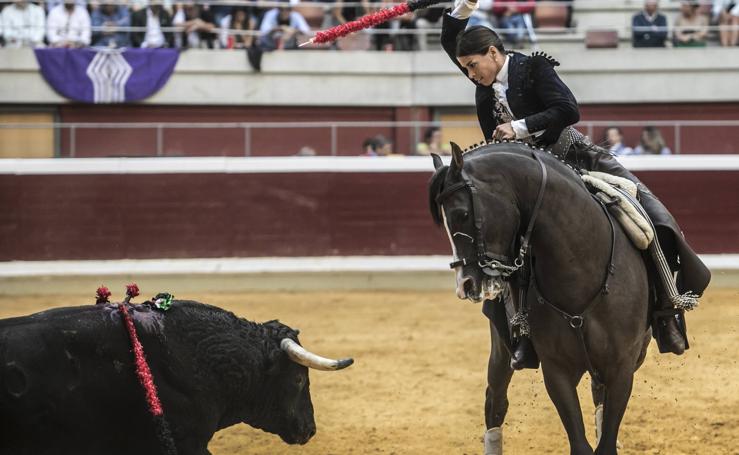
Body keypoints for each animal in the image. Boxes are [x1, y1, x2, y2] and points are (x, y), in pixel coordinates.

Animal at [428, 141, 652, 454]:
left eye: (462, 214)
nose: (466, 285)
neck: (580, 270)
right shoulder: (556, 371)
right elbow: (580, 444)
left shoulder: (622, 368)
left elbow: (606, 441)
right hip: (501, 351)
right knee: (495, 404)